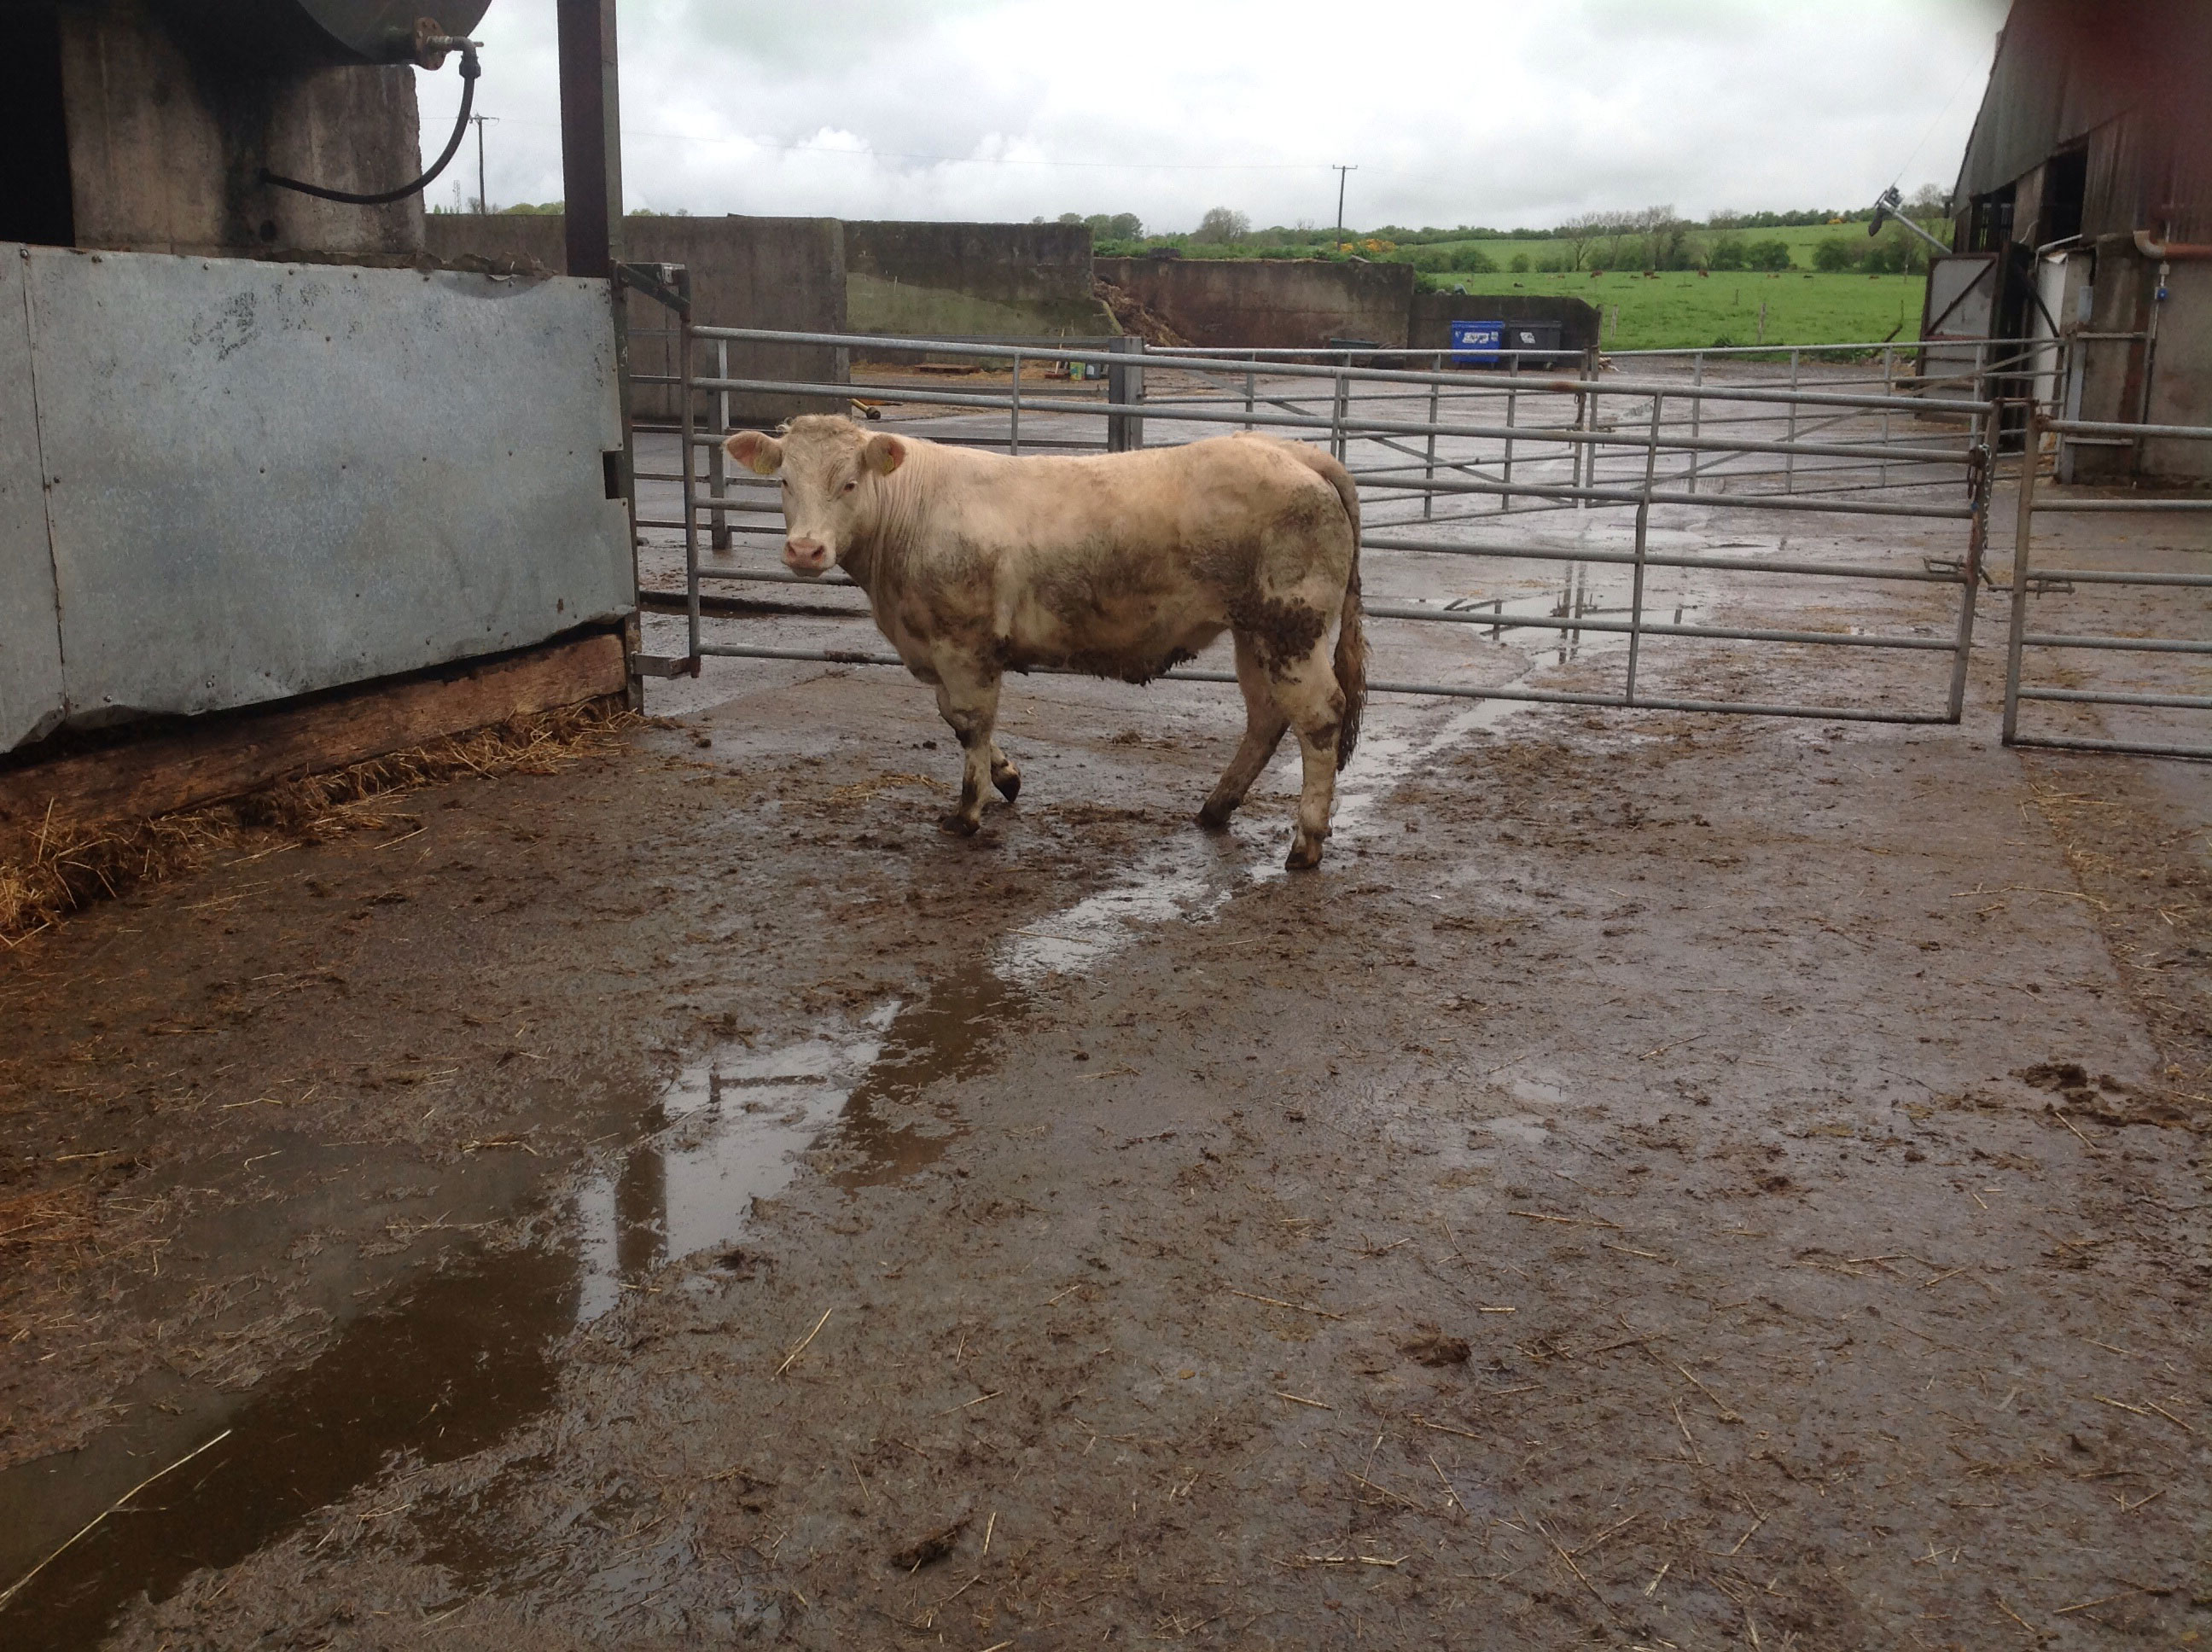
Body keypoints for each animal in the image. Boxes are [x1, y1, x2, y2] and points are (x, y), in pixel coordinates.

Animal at [725, 415, 1366, 870]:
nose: (805, 550)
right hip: (1253, 632)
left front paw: (968, 811)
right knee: (1266, 717)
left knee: (1318, 718)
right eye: (784, 481)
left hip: (1291, 625)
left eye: (850, 482)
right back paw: (1215, 808)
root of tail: (1295, 451)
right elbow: (959, 722)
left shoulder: (964, 646)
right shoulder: (940, 651)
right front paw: (1006, 777)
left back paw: (1305, 844)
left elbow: (970, 724)